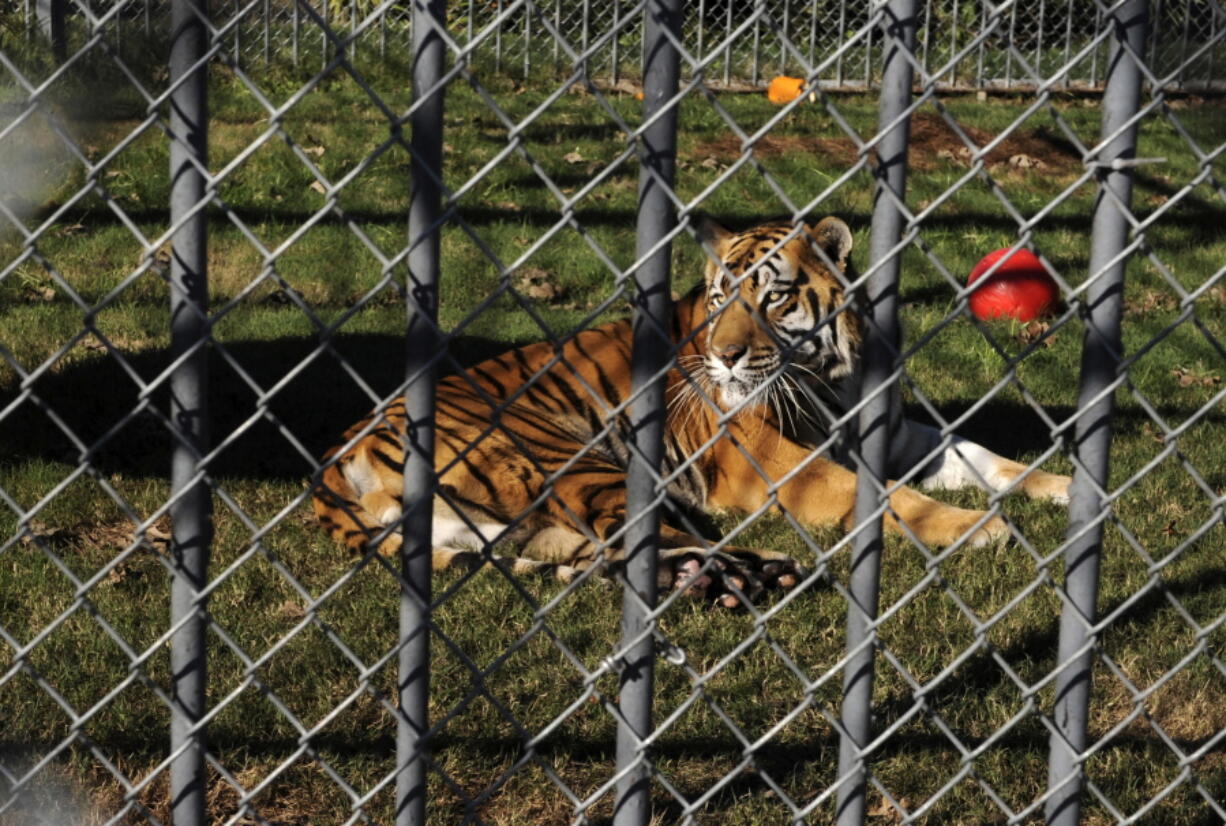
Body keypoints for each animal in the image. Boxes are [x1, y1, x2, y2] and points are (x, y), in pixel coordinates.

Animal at [311, 215, 1069, 600]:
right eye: (719, 298)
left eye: (774, 297)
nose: (725, 357)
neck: (835, 377)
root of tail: (336, 457)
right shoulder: (781, 467)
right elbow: (890, 497)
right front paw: (980, 528)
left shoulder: (894, 431)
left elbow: (987, 457)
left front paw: (1063, 485)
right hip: (575, 458)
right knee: (647, 540)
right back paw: (744, 577)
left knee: (590, 551)